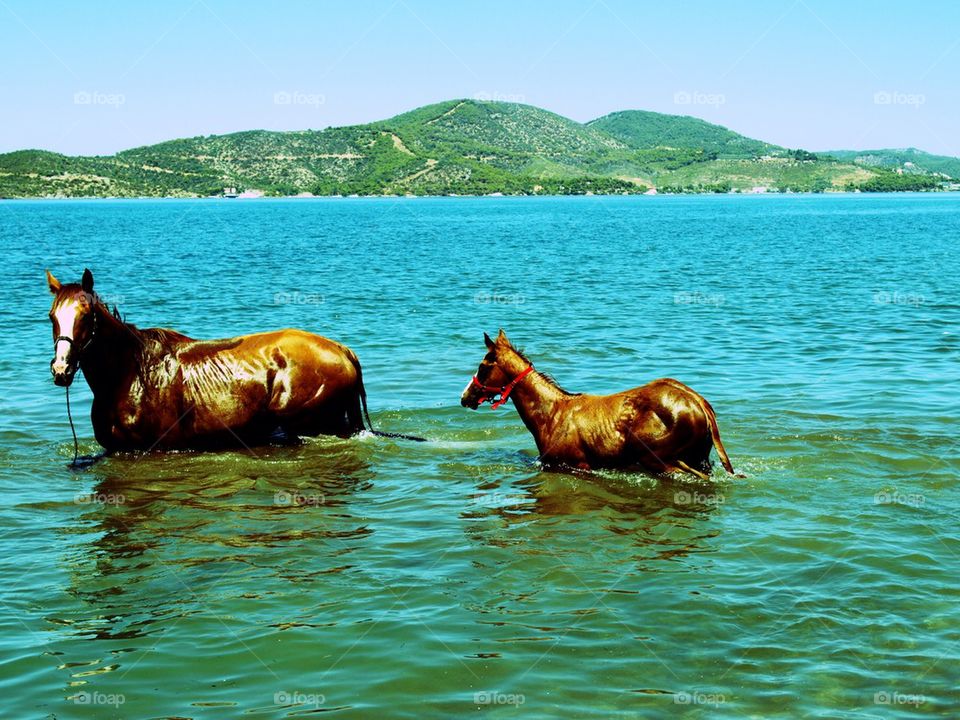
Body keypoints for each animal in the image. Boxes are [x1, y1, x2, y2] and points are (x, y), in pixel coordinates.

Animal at [460, 330, 736, 479]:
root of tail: (698, 401)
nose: (465, 397)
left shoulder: (573, 467)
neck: (550, 414)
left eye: (483, 367)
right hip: (696, 458)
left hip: (660, 461)